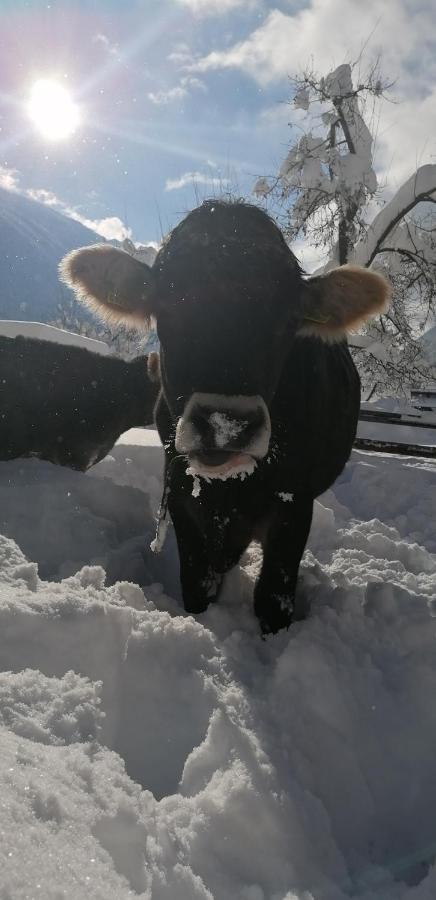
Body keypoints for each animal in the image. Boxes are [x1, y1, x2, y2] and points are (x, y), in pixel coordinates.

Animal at [59, 200, 390, 632]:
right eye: (166, 308)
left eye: (288, 321)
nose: (225, 424)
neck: (230, 492)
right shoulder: (182, 496)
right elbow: (197, 586)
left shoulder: (294, 504)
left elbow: (273, 598)